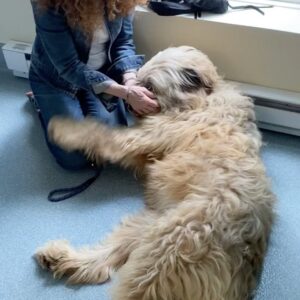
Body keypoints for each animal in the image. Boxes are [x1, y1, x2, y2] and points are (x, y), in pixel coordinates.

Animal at [35, 45, 274, 298]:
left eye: (150, 87)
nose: (130, 104)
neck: (202, 100)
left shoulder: (145, 137)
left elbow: (99, 133)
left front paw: (63, 130)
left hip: (167, 254)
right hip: (148, 228)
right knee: (102, 261)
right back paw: (60, 258)